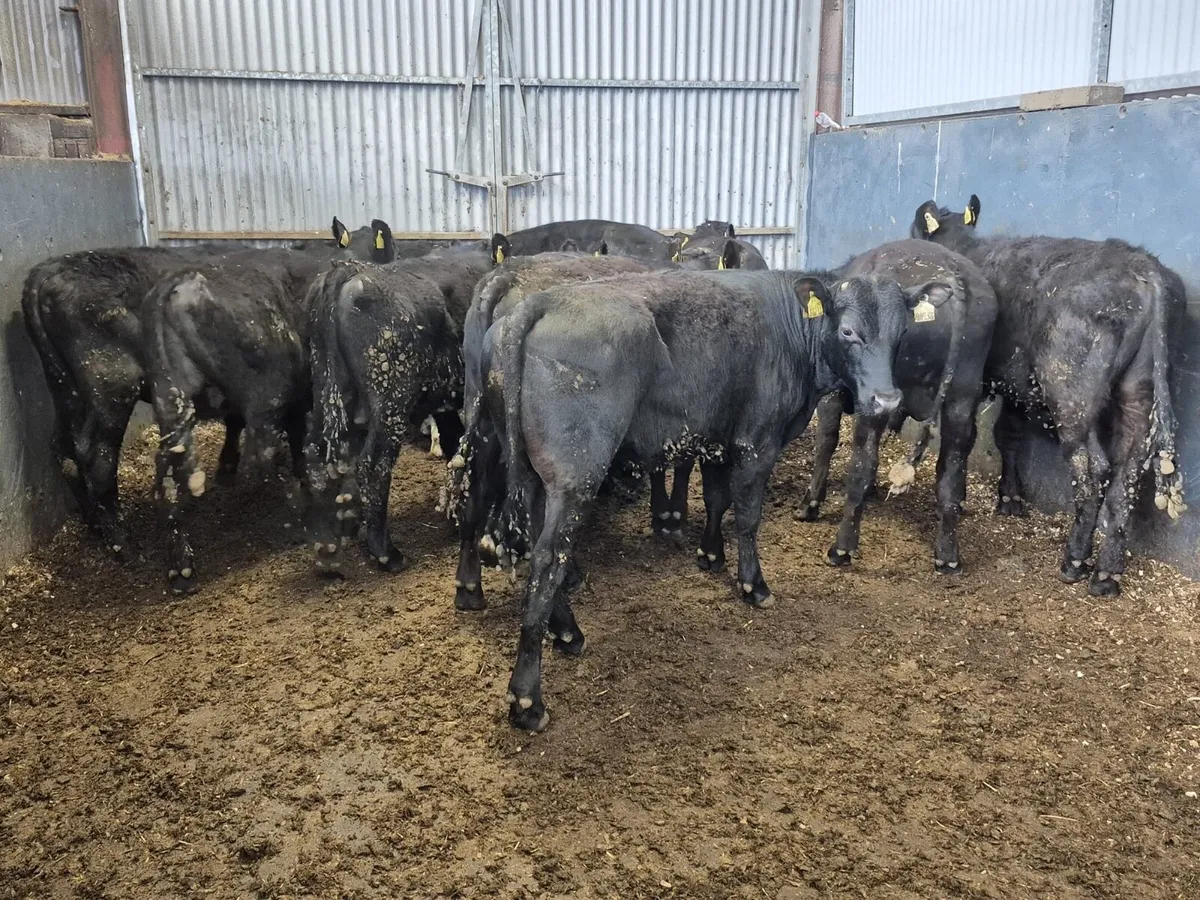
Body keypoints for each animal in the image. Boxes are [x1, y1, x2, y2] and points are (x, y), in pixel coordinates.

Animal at [304, 246, 495, 576]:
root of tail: (350, 271)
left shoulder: (444, 401)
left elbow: (454, 448)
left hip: (327, 392)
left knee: (319, 458)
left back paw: (331, 543)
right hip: (391, 403)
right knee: (372, 465)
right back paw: (386, 553)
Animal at [479, 268, 949, 731]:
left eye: (902, 332)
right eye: (848, 331)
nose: (886, 401)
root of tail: (537, 303)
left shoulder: (718, 439)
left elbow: (716, 500)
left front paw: (710, 555)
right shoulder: (756, 443)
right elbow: (747, 516)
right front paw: (753, 584)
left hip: (536, 476)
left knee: (540, 549)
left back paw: (567, 633)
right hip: (576, 475)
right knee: (548, 559)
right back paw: (527, 700)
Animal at [795, 240, 997, 574]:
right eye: (849, 331)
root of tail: (951, 272)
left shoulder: (833, 394)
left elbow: (826, 441)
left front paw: (810, 503)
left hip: (880, 404)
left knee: (862, 465)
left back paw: (842, 548)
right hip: (963, 395)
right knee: (951, 470)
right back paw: (948, 554)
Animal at [912, 195, 1186, 595]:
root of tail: (1143, 266)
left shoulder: (976, 378)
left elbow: (970, 438)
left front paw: (963, 499)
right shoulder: (1015, 384)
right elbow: (1008, 435)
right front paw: (1010, 498)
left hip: (1071, 392)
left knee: (1094, 470)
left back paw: (1075, 559)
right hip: (1138, 392)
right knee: (1129, 474)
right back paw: (1107, 574)